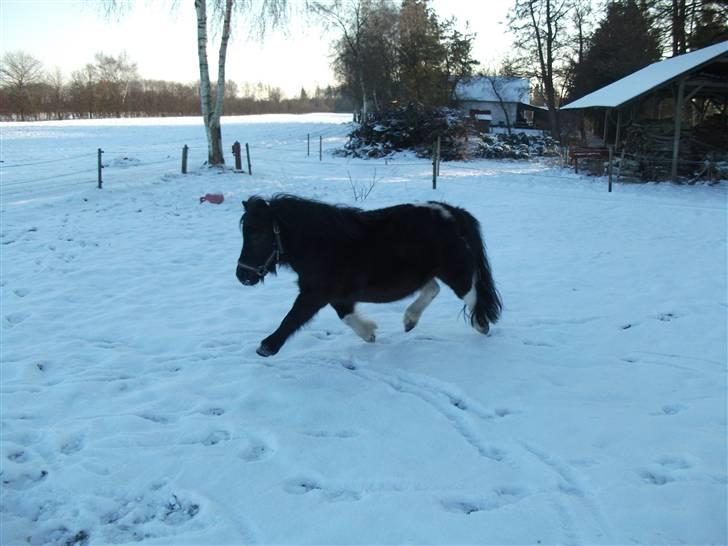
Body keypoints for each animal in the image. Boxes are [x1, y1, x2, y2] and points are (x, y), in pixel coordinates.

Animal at [237, 193, 500, 354]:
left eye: (258, 235)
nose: (242, 275)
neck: (320, 245)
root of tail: (453, 213)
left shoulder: (315, 294)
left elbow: (292, 317)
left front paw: (266, 347)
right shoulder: (335, 296)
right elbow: (345, 316)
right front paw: (370, 333)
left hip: (455, 272)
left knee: (472, 295)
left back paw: (481, 325)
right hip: (424, 272)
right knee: (433, 289)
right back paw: (409, 321)